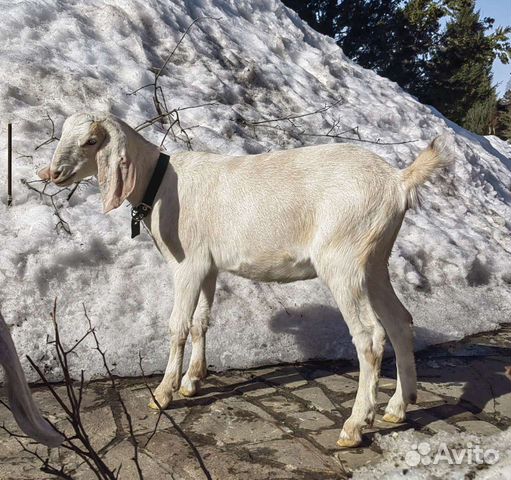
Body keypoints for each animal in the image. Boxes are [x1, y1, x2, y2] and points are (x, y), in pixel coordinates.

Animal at [40, 112, 454, 446]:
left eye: (91, 141)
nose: (54, 173)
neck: (160, 182)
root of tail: (397, 181)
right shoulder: (208, 264)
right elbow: (200, 321)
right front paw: (192, 381)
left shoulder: (188, 263)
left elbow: (178, 325)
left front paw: (163, 393)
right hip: (374, 261)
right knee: (399, 321)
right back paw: (398, 407)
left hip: (343, 259)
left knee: (369, 337)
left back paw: (355, 425)